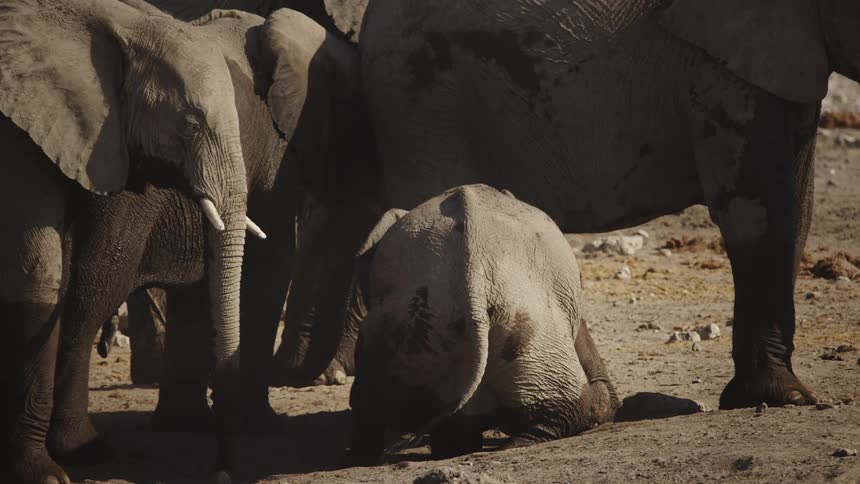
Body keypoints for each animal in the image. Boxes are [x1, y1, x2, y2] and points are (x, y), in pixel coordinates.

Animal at [35, 6, 371, 481]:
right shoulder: (276, 156)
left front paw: (185, 425)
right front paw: (261, 426)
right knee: (91, 292)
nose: (222, 468)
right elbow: (270, 264)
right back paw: (83, 449)